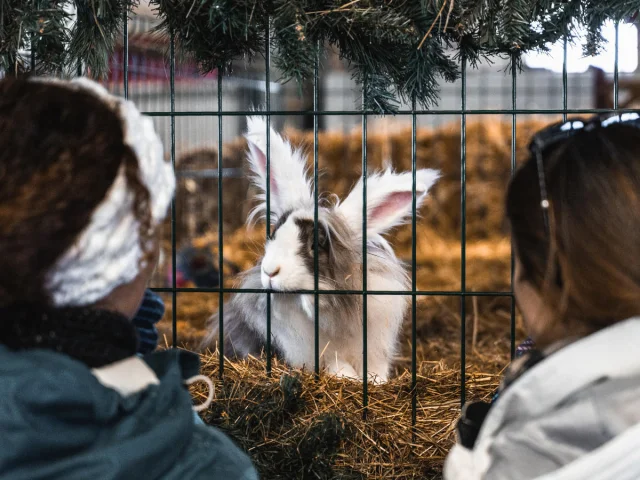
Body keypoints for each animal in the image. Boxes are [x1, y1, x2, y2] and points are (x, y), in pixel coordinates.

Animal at [201, 116, 440, 382]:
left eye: (316, 244)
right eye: (273, 233)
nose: (270, 271)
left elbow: (374, 371)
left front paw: (374, 382)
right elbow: (338, 366)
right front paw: (349, 378)